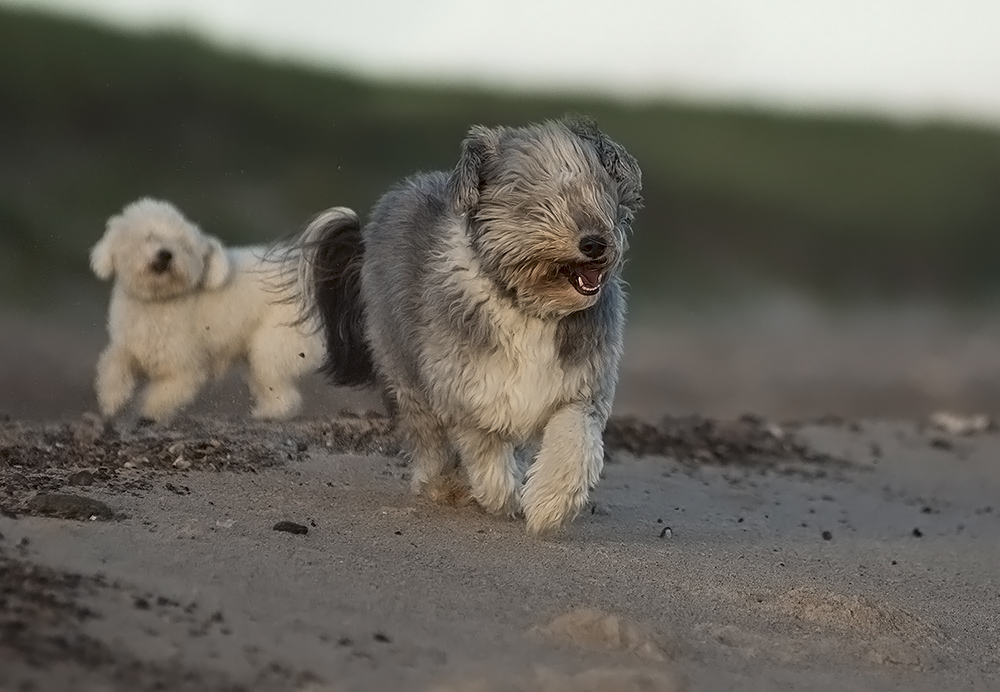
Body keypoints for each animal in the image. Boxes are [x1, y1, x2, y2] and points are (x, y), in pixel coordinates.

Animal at [89, 196, 336, 422]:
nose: (166, 254)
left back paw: (270, 413)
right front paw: (112, 399)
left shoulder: (185, 368)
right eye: (150, 236)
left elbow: (164, 394)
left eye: (183, 245)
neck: (159, 300)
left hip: (273, 345)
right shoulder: (130, 345)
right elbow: (113, 363)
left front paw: (148, 412)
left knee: (283, 392)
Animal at [302, 119, 640, 532]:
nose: (595, 243)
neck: (529, 306)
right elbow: (484, 449)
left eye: (599, 193)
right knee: (427, 435)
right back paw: (444, 485)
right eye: (539, 204)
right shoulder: (468, 389)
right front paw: (500, 497)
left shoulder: (580, 389)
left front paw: (549, 505)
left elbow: (574, 442)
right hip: (404, 370)